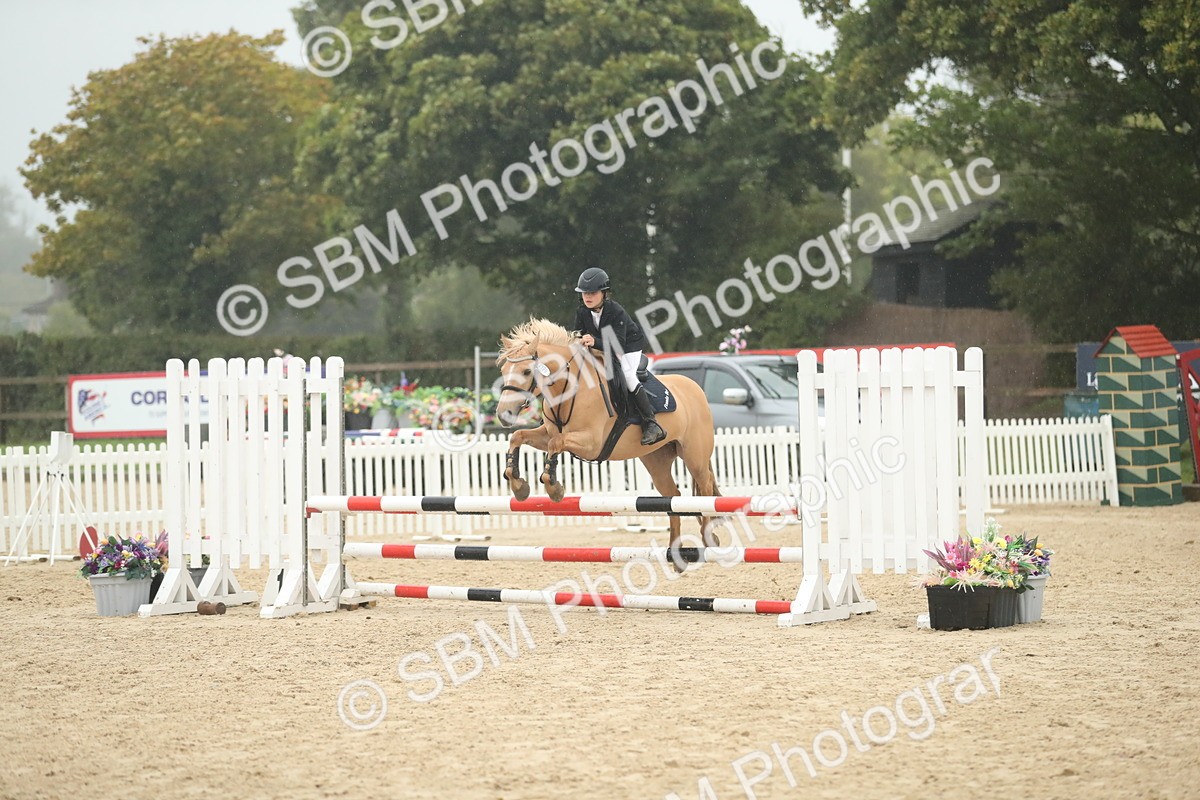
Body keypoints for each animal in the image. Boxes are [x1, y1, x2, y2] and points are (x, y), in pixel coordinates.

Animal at [494, 318, 722, 556]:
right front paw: (519, 486)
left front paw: (554, 489)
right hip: (657, 461)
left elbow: (556, 444)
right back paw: (674, 551)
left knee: (705, 488)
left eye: (526, 371)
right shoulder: (547, 434)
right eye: (503, 369)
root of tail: (695, 388)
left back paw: (709, 538)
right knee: (673, 495)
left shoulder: (591, 443)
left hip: (694, 457)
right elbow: (518, 436)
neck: (569, 389)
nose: (503, 414)